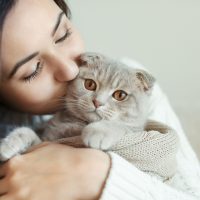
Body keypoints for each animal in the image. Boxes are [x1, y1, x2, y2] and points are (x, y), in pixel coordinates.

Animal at [0, 52, 155, 162]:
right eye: (90, 84)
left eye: (120, 95)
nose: (97, 102)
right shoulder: (45, 141)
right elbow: (26, 131)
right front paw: (8, 145)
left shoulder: (135, 131)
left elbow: (120, 126)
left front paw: (97, 132)